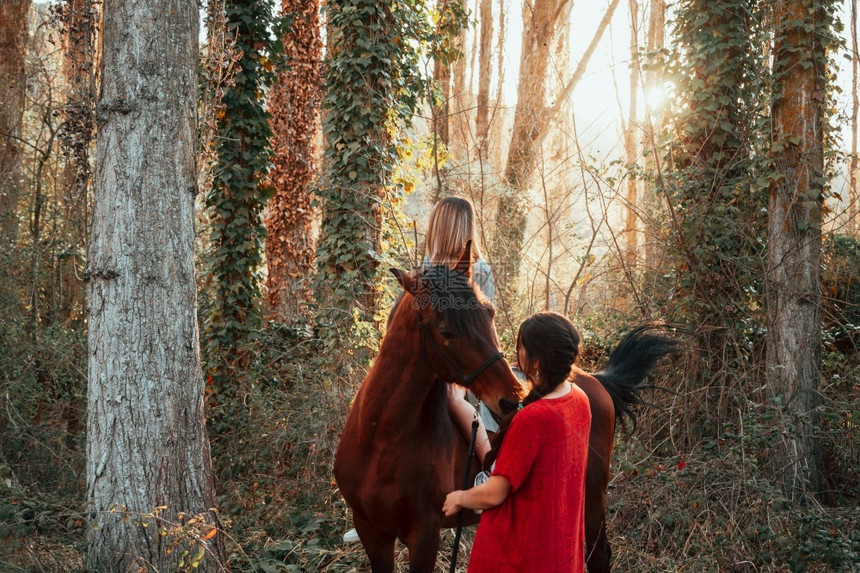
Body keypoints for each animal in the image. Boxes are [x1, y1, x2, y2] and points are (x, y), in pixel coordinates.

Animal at [334, 242, 524, 572]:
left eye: (489, 313)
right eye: (446, 332)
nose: (511, 399)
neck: (382, 438)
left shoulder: (424, 534)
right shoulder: (371, 530)